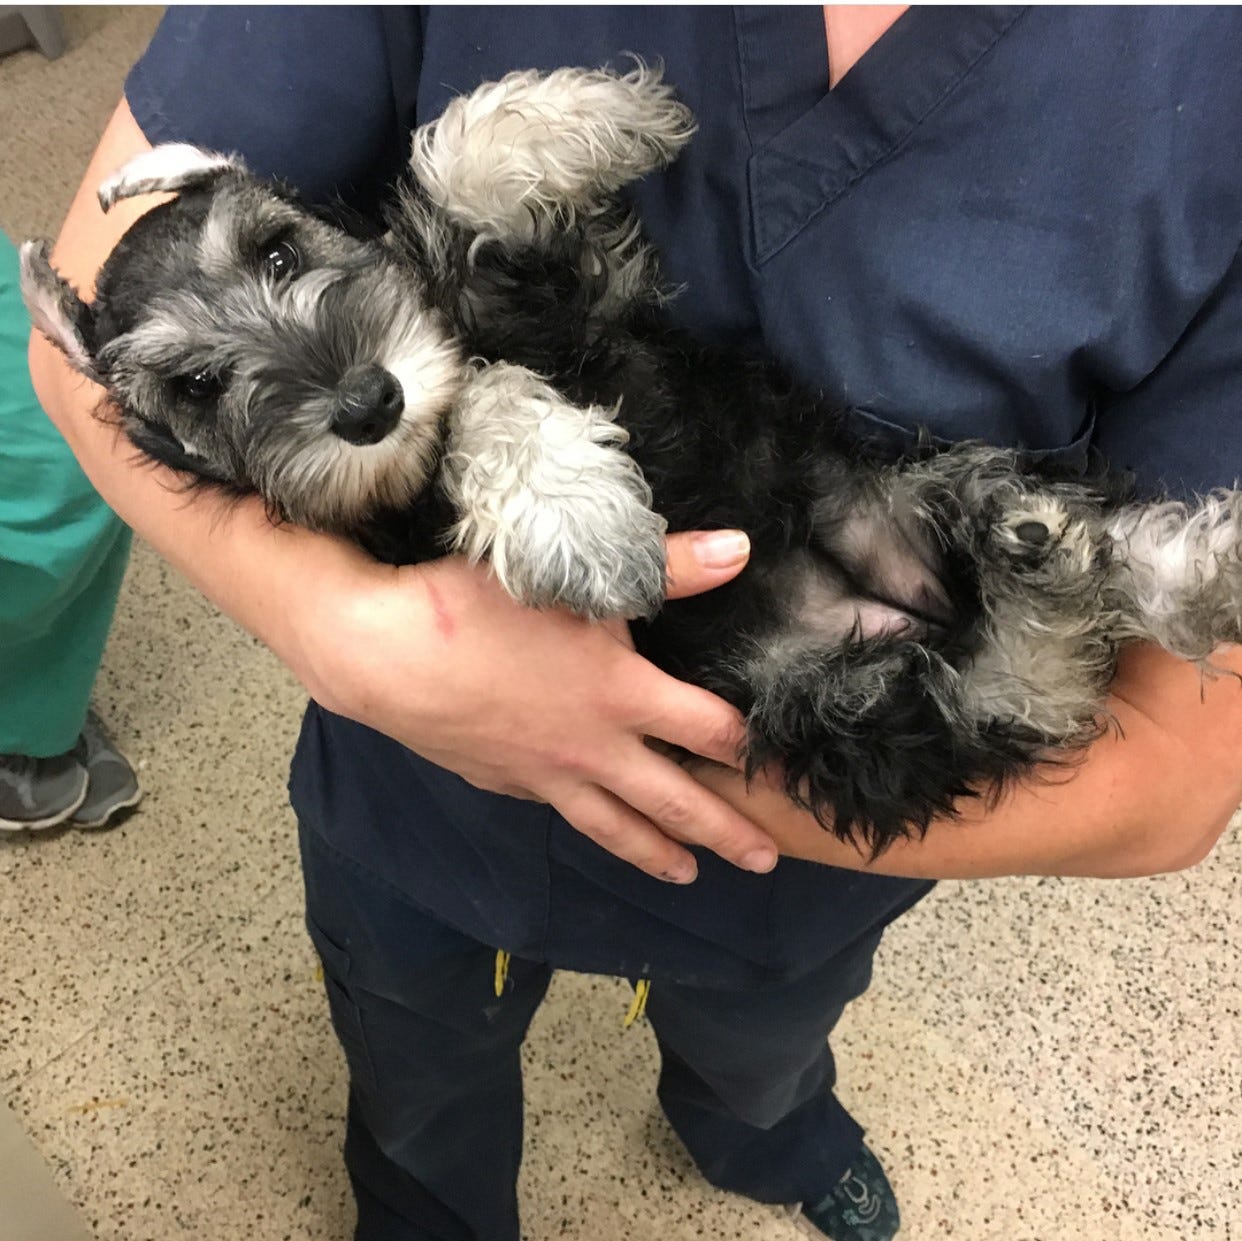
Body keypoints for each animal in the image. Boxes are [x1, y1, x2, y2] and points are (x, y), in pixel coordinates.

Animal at [19, 63, 1242, 849]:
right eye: (193, 387)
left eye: (278, 249)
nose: (367, 399)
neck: (460, 334)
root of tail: (905, 614)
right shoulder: (405, 516)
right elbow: (480, 413)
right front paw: (584, 515)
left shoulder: (577, 289)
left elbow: (457, 160)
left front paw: (619, 115)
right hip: (824, 704)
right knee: (1016, 686)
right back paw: (1059, 570)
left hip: (897, 484)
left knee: (1070, 589)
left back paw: (1174, 565)